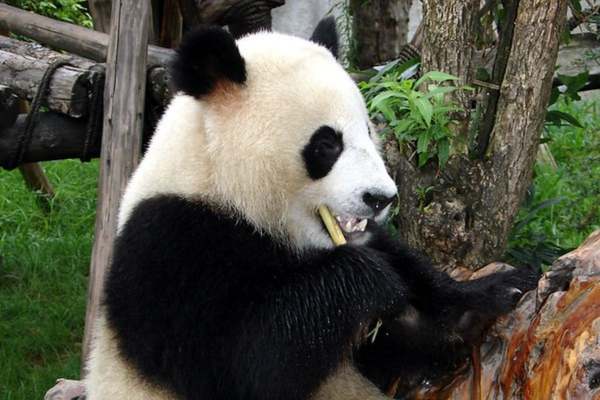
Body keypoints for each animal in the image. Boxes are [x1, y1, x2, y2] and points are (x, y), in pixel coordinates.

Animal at [85, 18, 540, 400]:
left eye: (369, 131)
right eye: (326, 145)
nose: (381, 198)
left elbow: (410, 294)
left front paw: (489, 294)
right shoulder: (174, 246)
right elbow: (247, 363)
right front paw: (372, 281)